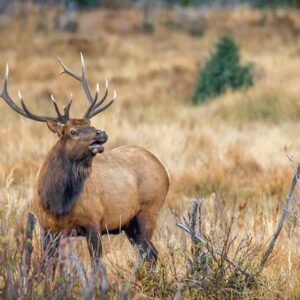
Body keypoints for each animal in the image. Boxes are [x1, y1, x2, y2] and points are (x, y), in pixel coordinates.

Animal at [0, 53, 169, 264]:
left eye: (90, 124)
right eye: (73, 131)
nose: (101, 133)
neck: (57, 203)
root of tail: (163, 169)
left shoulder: (93, 223)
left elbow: (97, 264)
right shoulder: (47, 228)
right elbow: (48, 265)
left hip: (149, 209)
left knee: (149, 253)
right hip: (130, 224)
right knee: (150, 253)